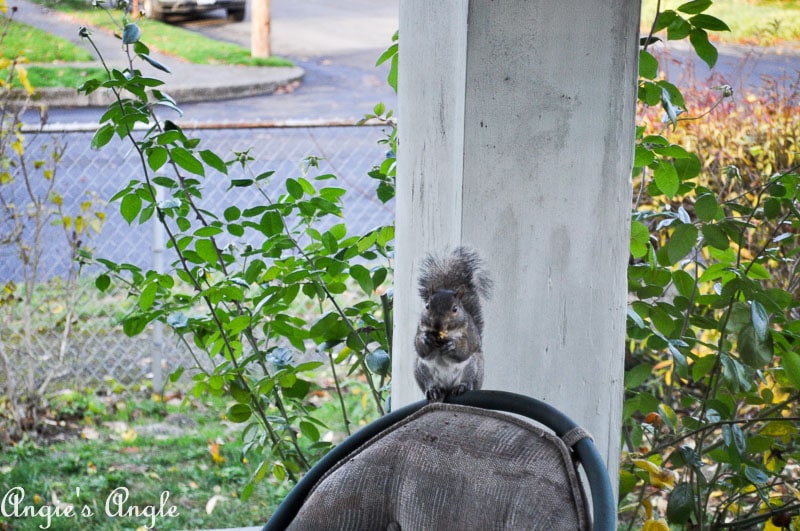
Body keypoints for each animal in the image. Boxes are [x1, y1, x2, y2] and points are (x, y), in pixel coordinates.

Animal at [416, 247, 490, 402]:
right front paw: (425, 340)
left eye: (455, 309)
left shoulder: (469, 335)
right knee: (429, 382)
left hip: (473, 367)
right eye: (427, 306)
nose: (437, 324)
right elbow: (419, 348)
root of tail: (447, 387)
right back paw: (433, 389)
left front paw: (452, 345)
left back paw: (462, 387)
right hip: (421, 369)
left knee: (468, 380)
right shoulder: (419, 329)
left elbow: (464, 350)